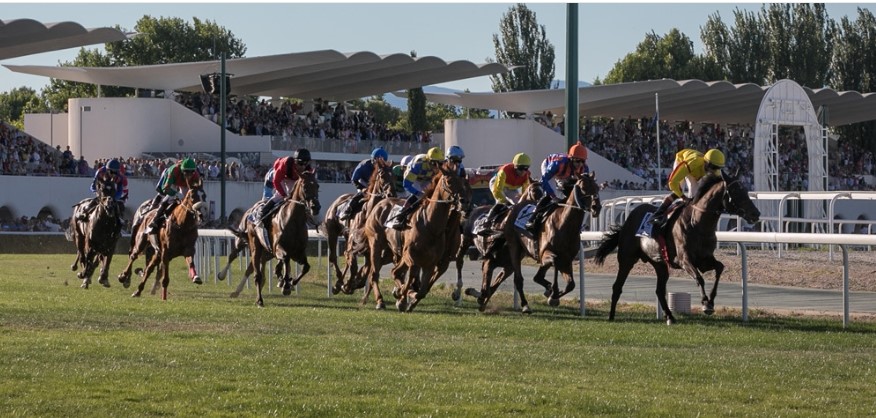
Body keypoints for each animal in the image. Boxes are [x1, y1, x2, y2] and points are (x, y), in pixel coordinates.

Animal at [240, 171, 322, 306]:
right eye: (305, 187)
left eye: (317, 186)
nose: (316, 207)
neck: (294, 220)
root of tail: (251, 211)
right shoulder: (278, 247)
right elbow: (285, 259)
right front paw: (286, 284)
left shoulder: (299, 252)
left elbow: (306, 267)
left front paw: (291, 282)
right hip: (256, 246)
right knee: (258, 275)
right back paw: (260, 300)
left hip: (268, 252)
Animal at [500, 172, 604, 314]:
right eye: (583, 188)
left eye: (597, 188)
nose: (596, 207)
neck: (564, 224)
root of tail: (516, 206)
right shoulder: (546, 253)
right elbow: (555, 262)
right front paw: (554, 294)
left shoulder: (567, 259)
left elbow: (571, 284)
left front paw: (553, 294)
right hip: (514, 247)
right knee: (519, 279)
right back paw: (526, 305)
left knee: (537, 277)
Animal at [592, 171, 764, 324]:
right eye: (735, 191)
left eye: (745, 191)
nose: (756, 213)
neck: (698, 223)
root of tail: (628, 220)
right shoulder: (684, 260)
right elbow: (699, 278)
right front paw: (705, 303)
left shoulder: (705, 259)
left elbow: (720, 268)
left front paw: (711, 301)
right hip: (627, 259)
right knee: (617, 286)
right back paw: (611, 316)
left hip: (660, 264)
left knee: (659, 290)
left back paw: (670, 316)